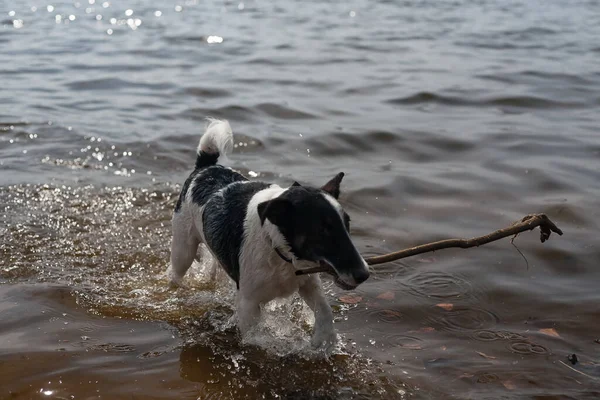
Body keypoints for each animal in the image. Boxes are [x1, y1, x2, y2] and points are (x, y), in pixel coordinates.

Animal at [165, 119, 370, 350]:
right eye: (322, 230)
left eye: (347, 224)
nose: (364, 274)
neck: (278, 248)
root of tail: (205, 167)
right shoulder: (248, 304)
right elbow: (255, 339)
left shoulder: (308, 281)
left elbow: (324, 309)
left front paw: (324, 340)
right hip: (183, 249)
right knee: (176, 271)